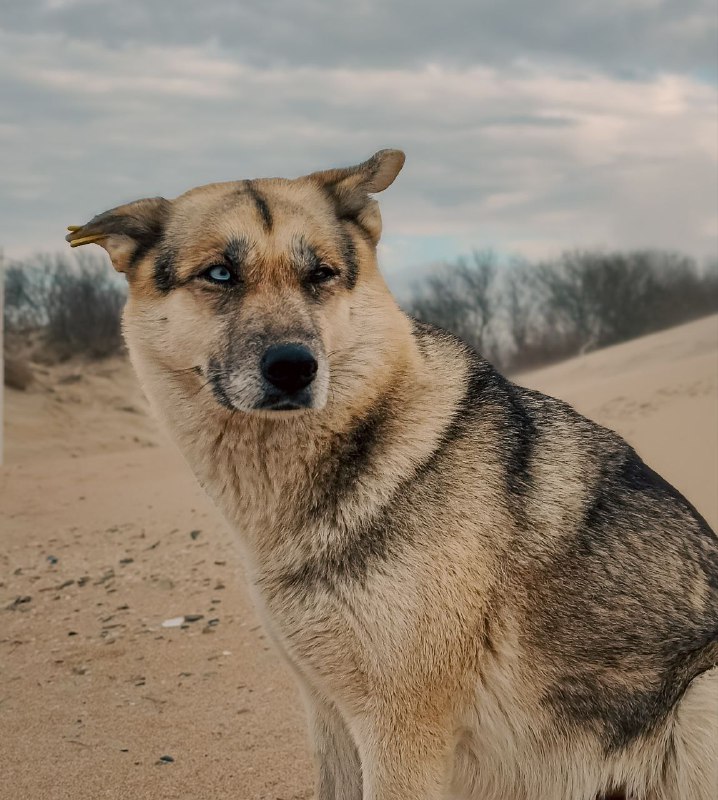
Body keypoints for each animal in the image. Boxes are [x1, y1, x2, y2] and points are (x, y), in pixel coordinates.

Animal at [64, 152, 716, 800]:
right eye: (220, 274)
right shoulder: (330, 714)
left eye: (321, 275)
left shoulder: (400, 726)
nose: (294, 367)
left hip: (701, 698)